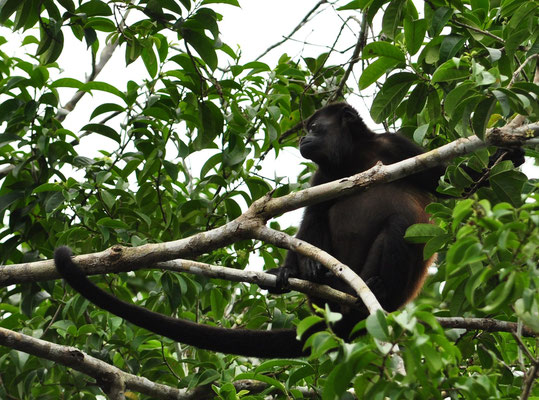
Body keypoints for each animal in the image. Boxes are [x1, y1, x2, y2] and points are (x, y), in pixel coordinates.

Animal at [53, 101, 524, 358]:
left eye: (315, 127)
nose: (301, 140)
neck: (355, 156)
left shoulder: (397, 146)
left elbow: (460, 188)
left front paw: (507, 152)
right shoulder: (323, 176)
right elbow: (311, 219)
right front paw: (290, 268)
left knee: (401, 225)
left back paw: (374, 289)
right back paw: (311, 278)